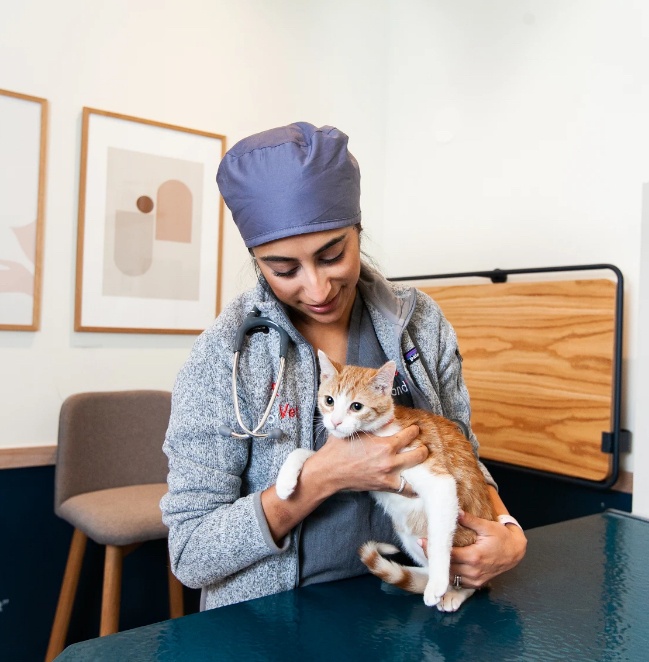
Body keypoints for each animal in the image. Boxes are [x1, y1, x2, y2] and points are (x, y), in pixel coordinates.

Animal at [274, 350, 496, 616]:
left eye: (356, 406)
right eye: (329, 400)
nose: (335, 422)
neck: (376, 433)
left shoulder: (439, 482)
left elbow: (439, 543)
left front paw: (437, 584)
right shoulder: (349, 476)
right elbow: (307, 455)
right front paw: (285, 480)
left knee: (471, 581)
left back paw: (450, 591)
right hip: (408, 535)